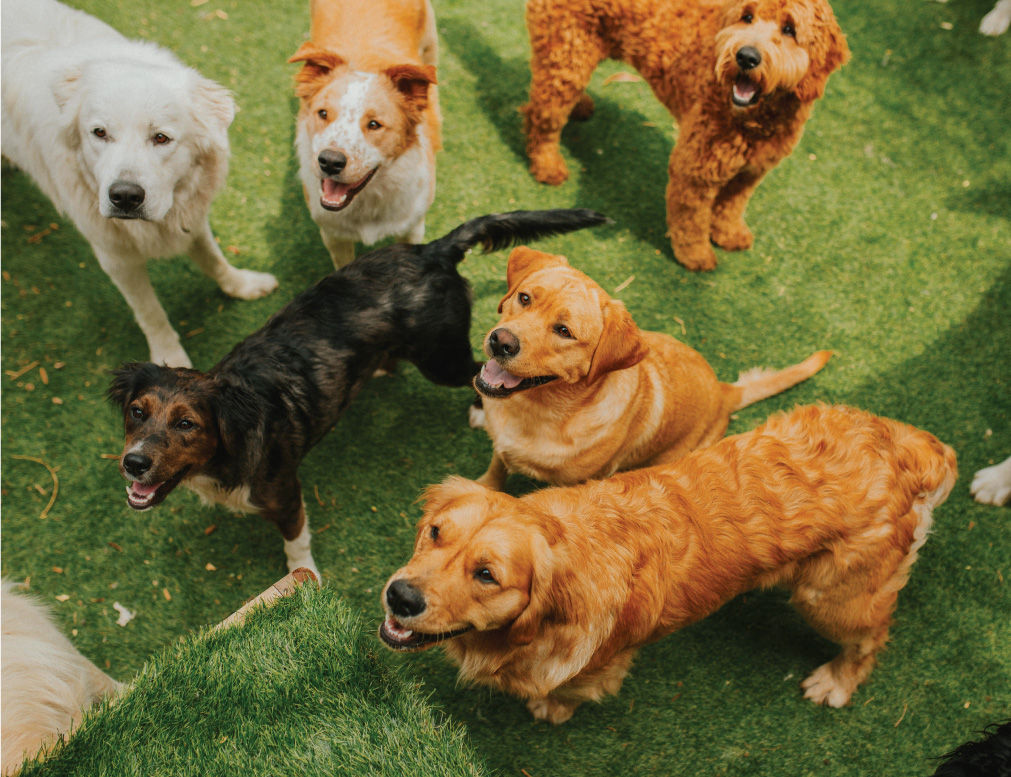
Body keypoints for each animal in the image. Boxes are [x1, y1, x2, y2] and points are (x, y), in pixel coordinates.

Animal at [1, 0, 279, 367]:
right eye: (99, 133)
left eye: (161, 138)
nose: (124, 197)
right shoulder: (117, 259)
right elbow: (151, 313)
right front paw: (168, 360)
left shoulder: (190, 217)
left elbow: (214, 259)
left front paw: (242, 285)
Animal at [108, 209, 606, 573]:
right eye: (137, 412)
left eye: (187, 424)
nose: (133, 463)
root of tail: (432, 250)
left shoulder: (287, 495)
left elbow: (296, 547)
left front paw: (301, 579)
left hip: (441, 359)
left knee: (479, 372)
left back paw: (479, 409)